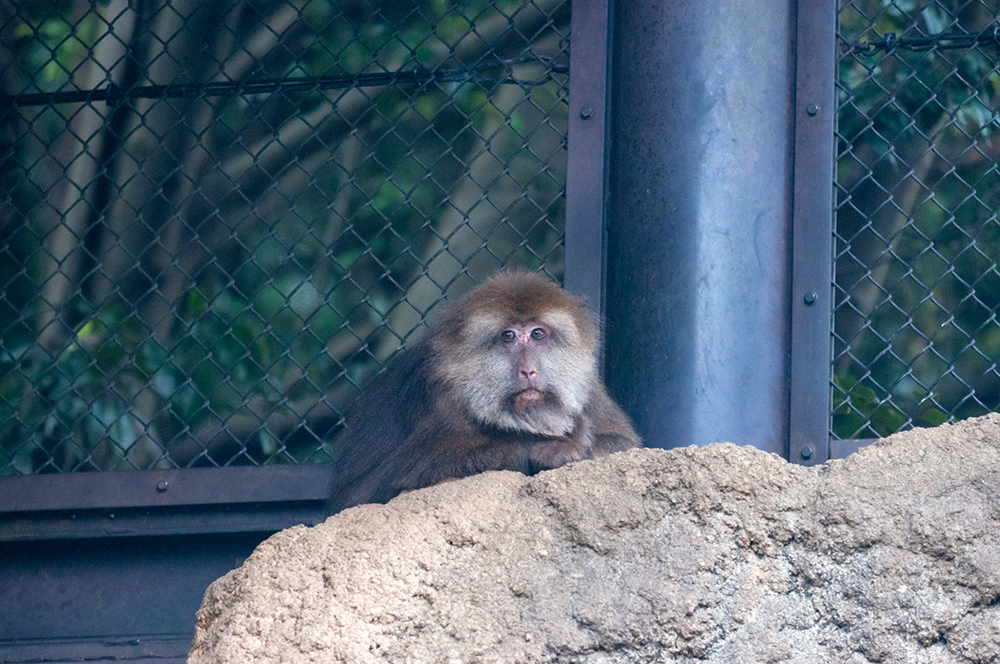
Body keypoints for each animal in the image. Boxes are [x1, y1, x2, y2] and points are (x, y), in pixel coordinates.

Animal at [328, 270, 640, 512]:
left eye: (537, 334)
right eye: (508, 336)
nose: (528, 371)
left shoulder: (590, 389)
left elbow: (622, 444)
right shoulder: (440, 398)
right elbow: (371, 488)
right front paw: (552, 446)